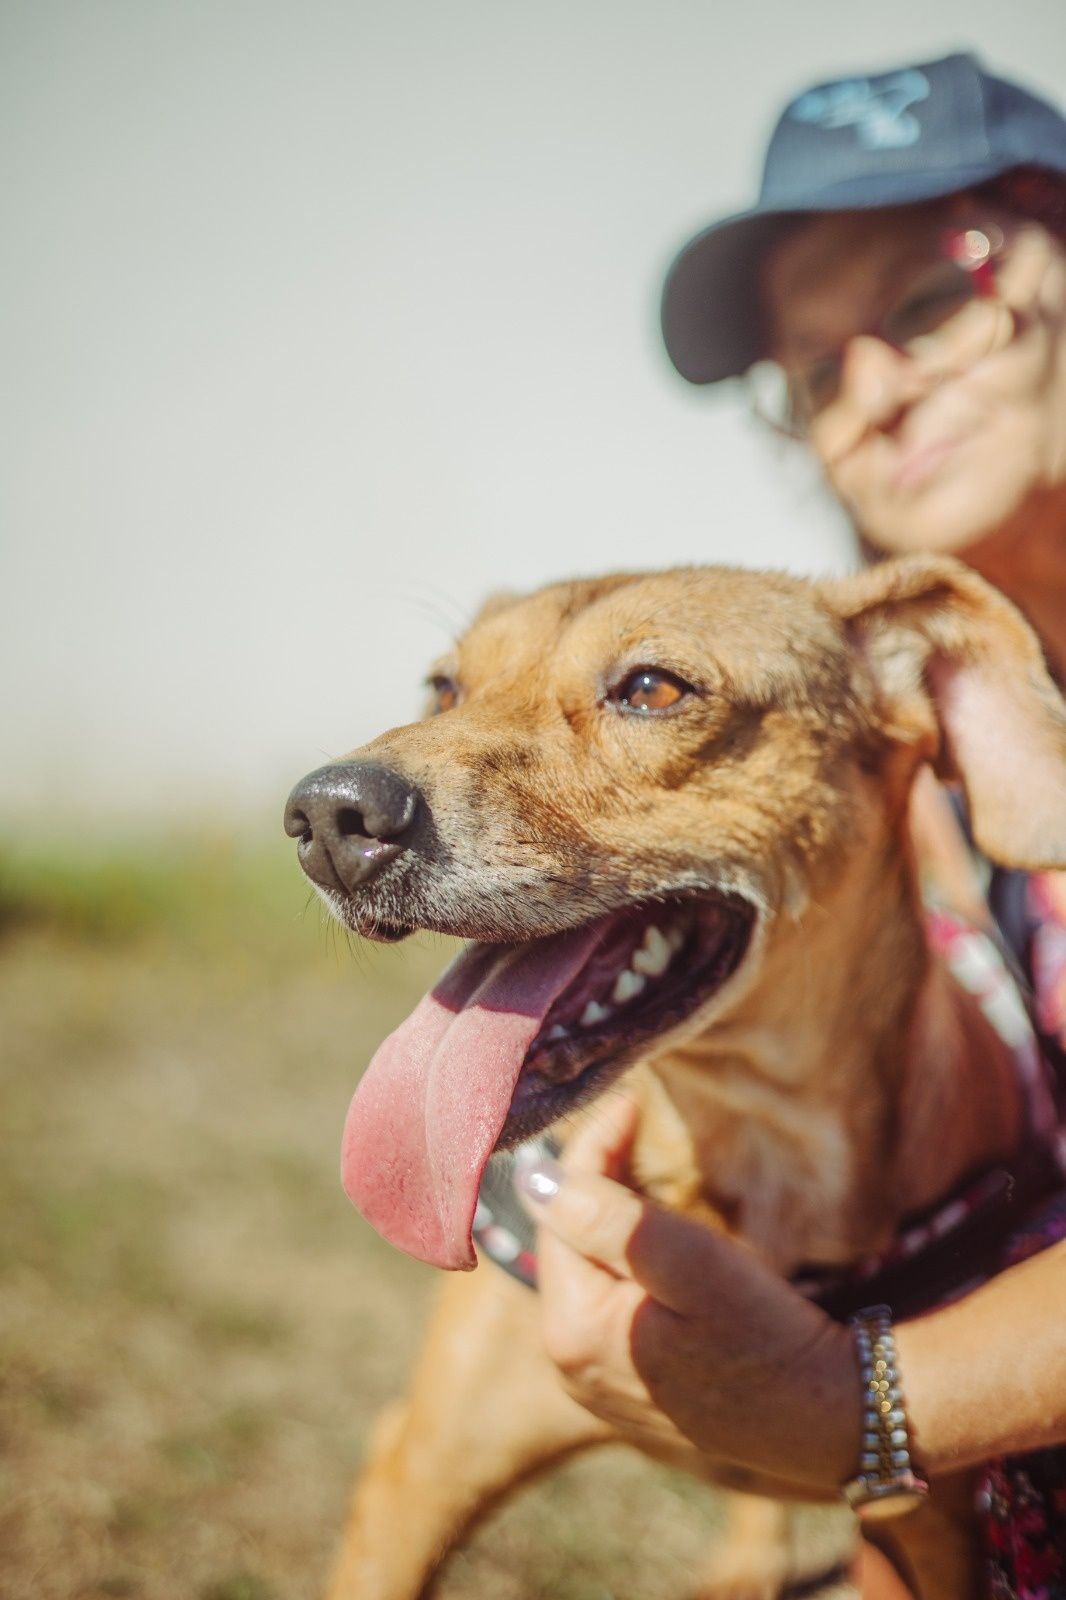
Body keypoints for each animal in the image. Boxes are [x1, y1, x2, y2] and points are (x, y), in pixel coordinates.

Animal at [281, 553, 1062, 1600]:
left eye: (653, 689)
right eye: (443, 687)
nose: (329, 813)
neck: (754, 1148)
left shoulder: (936, 1538)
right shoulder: (416, 1477)